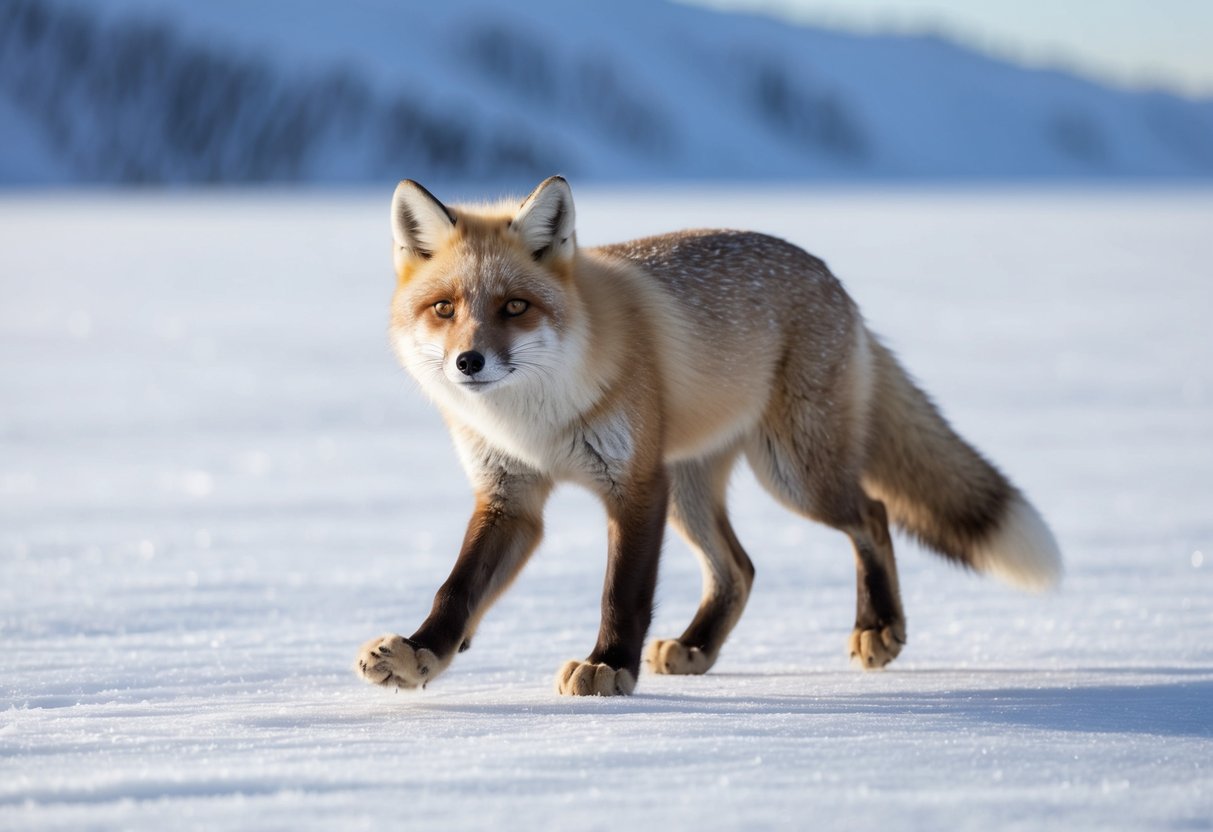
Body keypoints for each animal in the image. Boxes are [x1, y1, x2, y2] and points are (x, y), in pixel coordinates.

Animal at [354, 175, 1062, 697]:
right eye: (445, 308)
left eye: (515, 308)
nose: (468, 362)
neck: (535, 422)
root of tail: (834, 281)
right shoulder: (511, 497)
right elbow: (457, 590)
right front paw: (421, 654)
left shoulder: (635, 485)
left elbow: (623, 591)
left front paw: (609, 666)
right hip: (693, 488)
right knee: (739, 568)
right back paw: (697, 646)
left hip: (792, 475)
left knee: (873, 514)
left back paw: (879, 626)